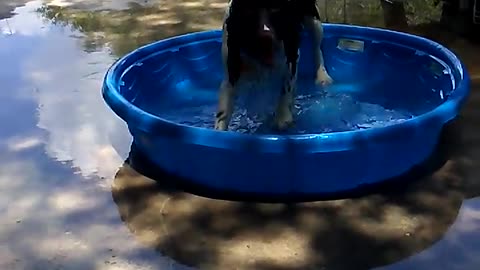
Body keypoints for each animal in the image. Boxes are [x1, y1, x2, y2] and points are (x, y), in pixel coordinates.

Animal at [215, 0, 332, 131]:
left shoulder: (291, 55)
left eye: (276, 10)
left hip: (314, 21)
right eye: (250, 12)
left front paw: (283, 117)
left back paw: (322, 76)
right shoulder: (231, 69)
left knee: (317, 48)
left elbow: (286, 88)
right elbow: (224, 109)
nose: (266, 37)